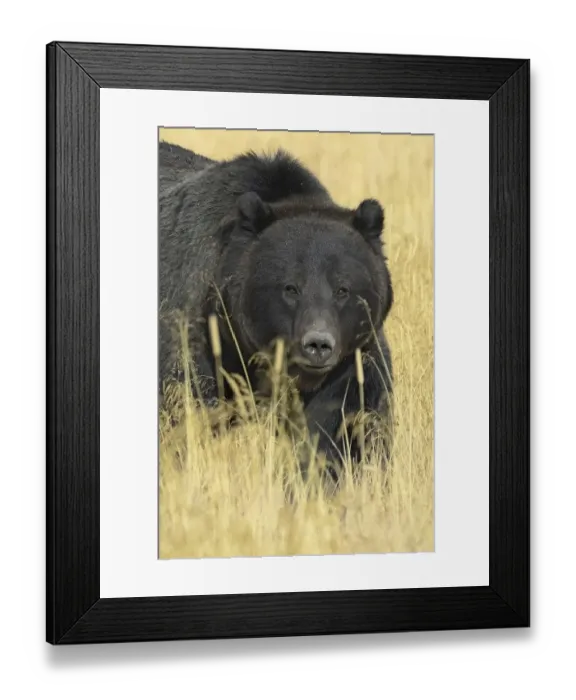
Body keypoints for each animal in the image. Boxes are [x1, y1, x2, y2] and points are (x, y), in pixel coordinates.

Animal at [158, 140, 394, 481]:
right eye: (290, 287)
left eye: (343, 289)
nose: (318, 344)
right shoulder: (195, 332)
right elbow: (186, 406)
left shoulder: (353, 359)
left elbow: (344, 425)